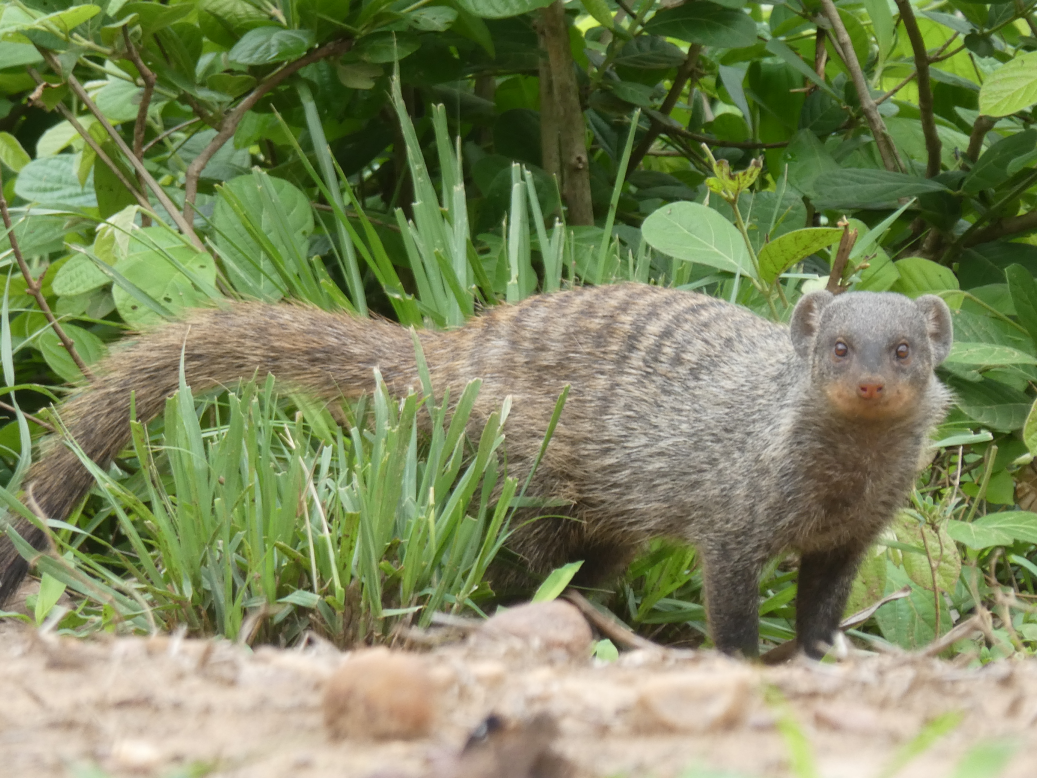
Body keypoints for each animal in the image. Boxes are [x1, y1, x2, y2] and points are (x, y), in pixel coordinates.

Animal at [0, 284, 953, 658]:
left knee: (581, 567)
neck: (840, 479)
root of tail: (448, 348)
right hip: (518, 467)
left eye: (903, 348)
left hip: (599, 512)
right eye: (838, 346)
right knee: (515, 561)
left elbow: (825, 600)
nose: (869, 380)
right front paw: (745, 662)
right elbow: (730, 596)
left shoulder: (855, 532)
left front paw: (822, 654)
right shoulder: (732, 505)